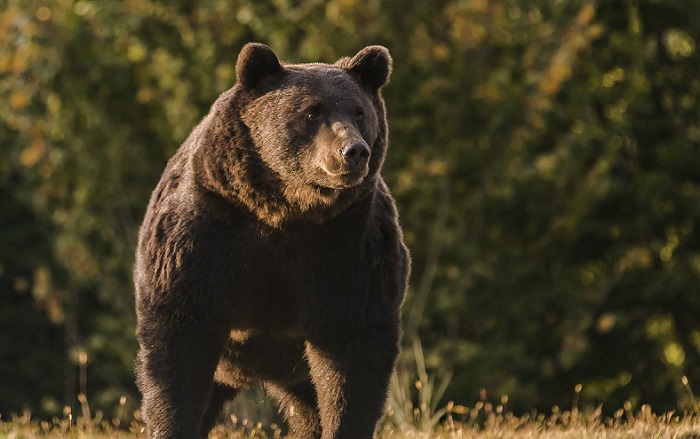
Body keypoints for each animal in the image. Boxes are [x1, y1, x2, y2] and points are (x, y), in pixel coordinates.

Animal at [133, 42, 410, 439]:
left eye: (360, 113)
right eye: (311, 112)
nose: (354, 151)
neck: (285, 211)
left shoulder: (350, 247)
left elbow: (353, 355)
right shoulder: (204, 236)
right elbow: (177, 346)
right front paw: (171, 424)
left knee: (309, 407)